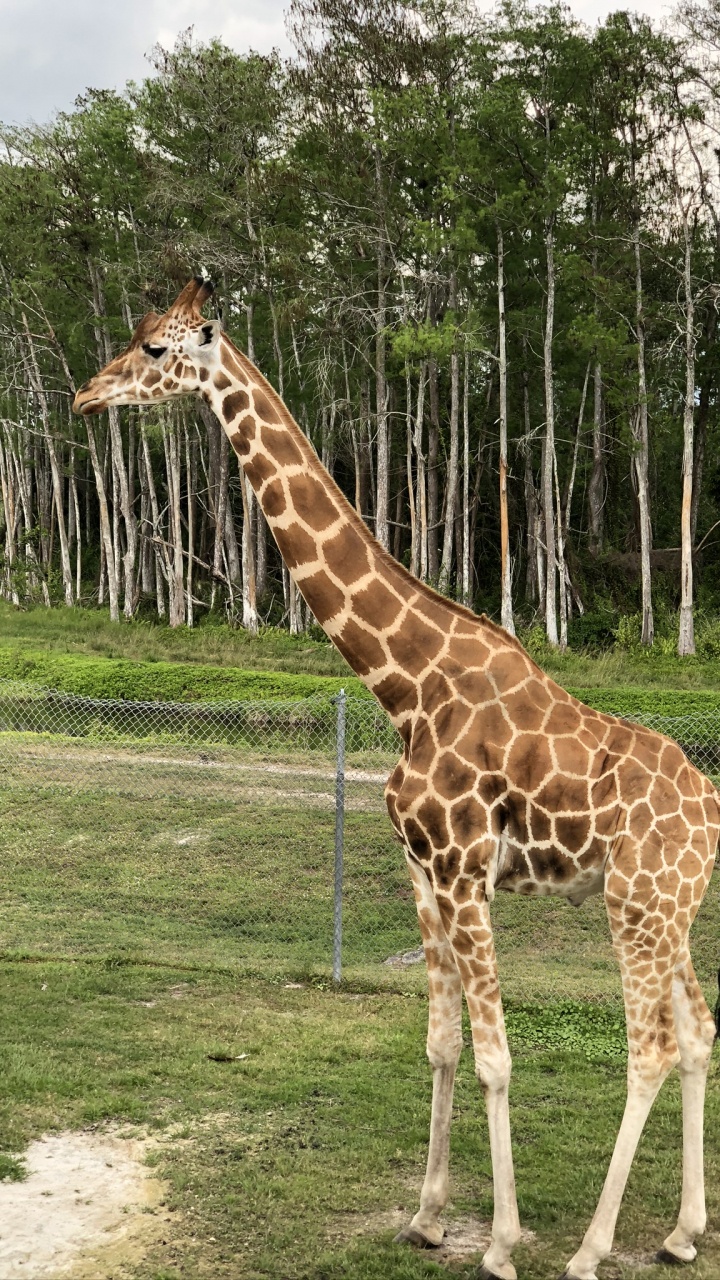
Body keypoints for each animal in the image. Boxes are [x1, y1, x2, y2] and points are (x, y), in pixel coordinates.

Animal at [73, 277, 719, 1280]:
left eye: (152, 347)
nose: (83, 396)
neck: (406, 684)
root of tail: (712, 806)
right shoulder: (420, 871)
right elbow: (443, 1044)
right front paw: (426, 1215)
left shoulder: (463, 869)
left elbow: (496, 1056)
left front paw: (501, 1243)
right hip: (667, 906)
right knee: (696, 1034)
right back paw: (682, 1233)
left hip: (639, 905)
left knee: (649, 1047)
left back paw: (590, 1249)